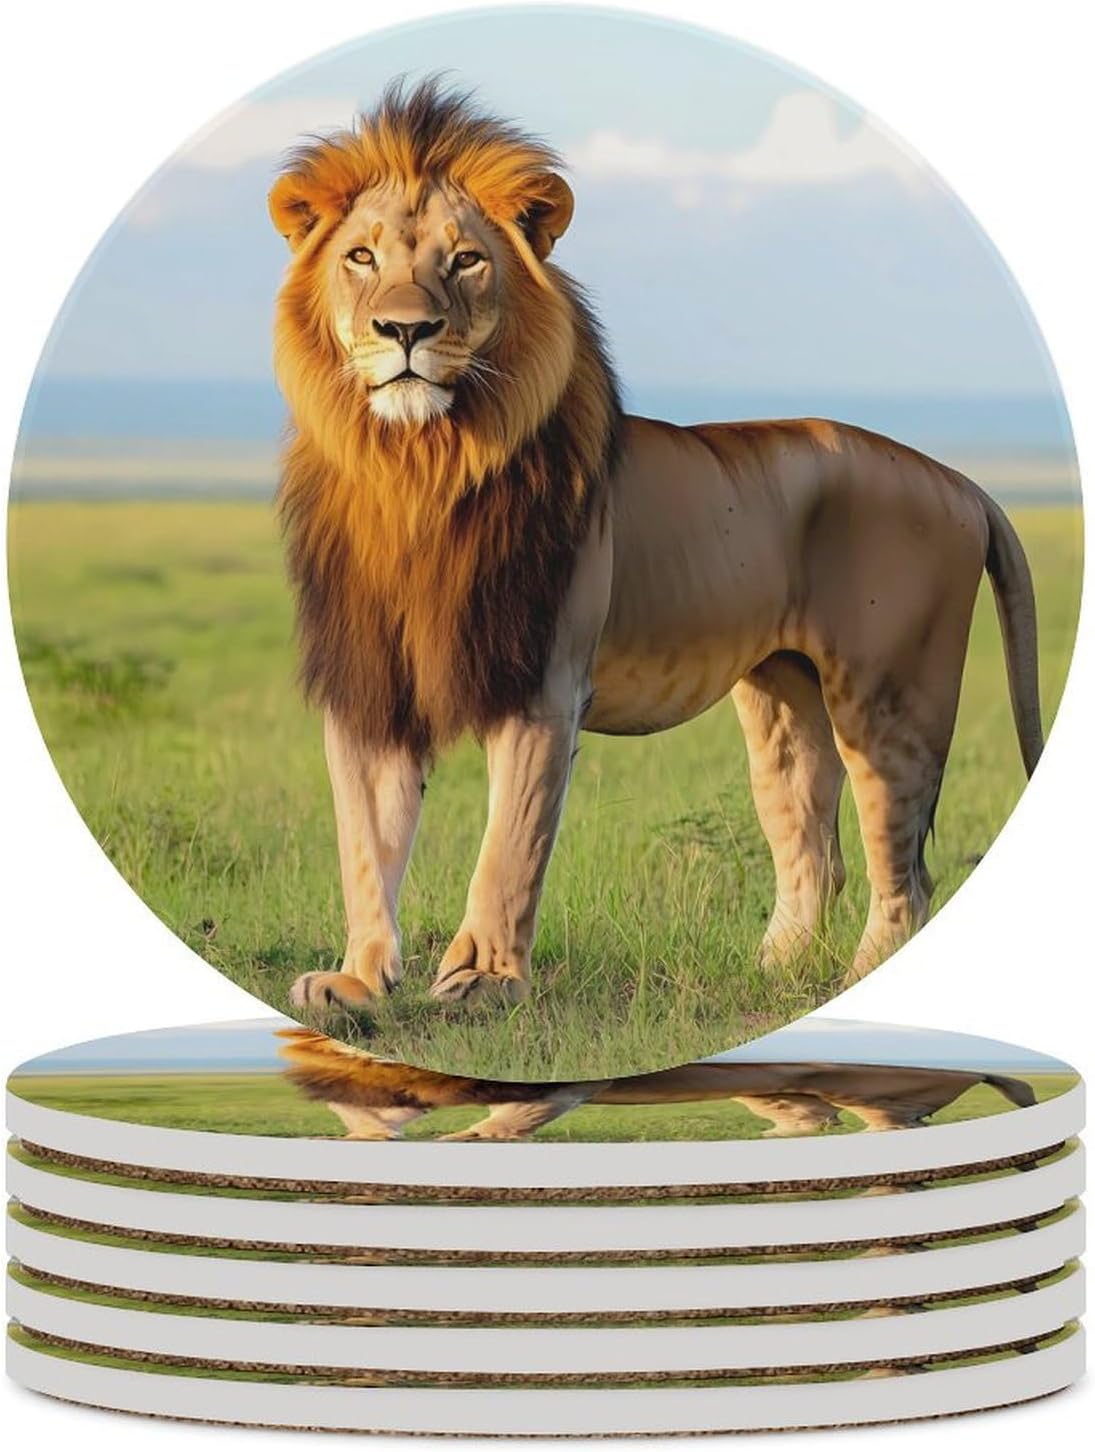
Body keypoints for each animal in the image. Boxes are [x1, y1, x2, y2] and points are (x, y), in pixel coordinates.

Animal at [269, 80, 1043, 1013]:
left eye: (465, 262)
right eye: (359, 257)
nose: (404, 330)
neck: (415, 470)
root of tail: (960, 481)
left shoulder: (544, 681)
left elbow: (508, 847)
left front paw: (482, 981)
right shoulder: (369, 683)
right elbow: (365, 840)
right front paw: (355, 981)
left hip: (890, 692)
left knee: (904, 868)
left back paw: (854, 982)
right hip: (782, 692)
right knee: (810, 847)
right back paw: (772, 975)